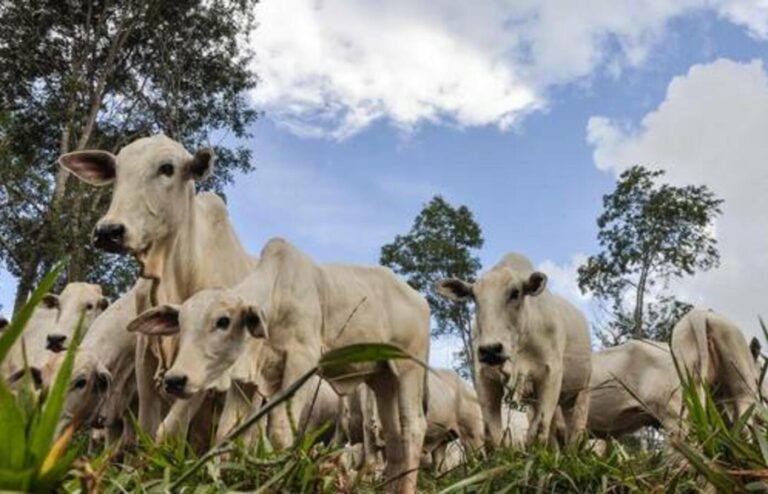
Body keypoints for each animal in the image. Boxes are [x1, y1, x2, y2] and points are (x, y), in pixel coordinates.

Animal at [60, 135, 256, 440]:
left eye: (167, 168)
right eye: (117, 170)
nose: (108, 231)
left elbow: (169, 429)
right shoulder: (145, 356)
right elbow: (147, 428)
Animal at [132, 237, 432, 492]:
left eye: (223, 321)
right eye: (181, 323)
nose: (175, 380)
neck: (276, 298)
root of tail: (420, 299)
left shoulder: (303, 361)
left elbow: (279, 430)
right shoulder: (246, 380)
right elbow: (228, 433)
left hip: (409, 369)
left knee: (413, 427)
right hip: (382, 378)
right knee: (394, 435)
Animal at [436, 255, 592, 448]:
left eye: (515, 293)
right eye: (474, 296)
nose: (490, 350)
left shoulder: (551, 375)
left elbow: (538, 430)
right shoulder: (484, 379)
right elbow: (494, 433)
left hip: (581, 392)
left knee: (575, 430)